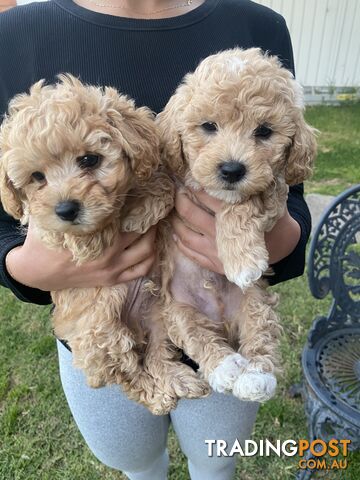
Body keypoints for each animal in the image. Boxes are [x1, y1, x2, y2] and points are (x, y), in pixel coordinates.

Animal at [0, 74, 208, 412]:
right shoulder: (48, 230)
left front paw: (145, 206)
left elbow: (158, 182)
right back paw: (157, 395)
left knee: (157, 355)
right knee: (128, 374)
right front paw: (107, 227)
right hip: (101, 336)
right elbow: (78, 233)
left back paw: (178, 380)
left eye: (89, 159)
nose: (66, 210)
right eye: (37, 177)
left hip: (159, 317)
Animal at [156, 47, 316, 402]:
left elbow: (242, 205)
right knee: (200, 338)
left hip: (255, 301)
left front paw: (242, 261)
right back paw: (226, 367)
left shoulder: (273, 187)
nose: (231, 170)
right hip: (179, 309)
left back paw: (255, 377)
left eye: (264, 131)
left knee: (261, 338)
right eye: (208, 126)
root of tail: (223, 322)